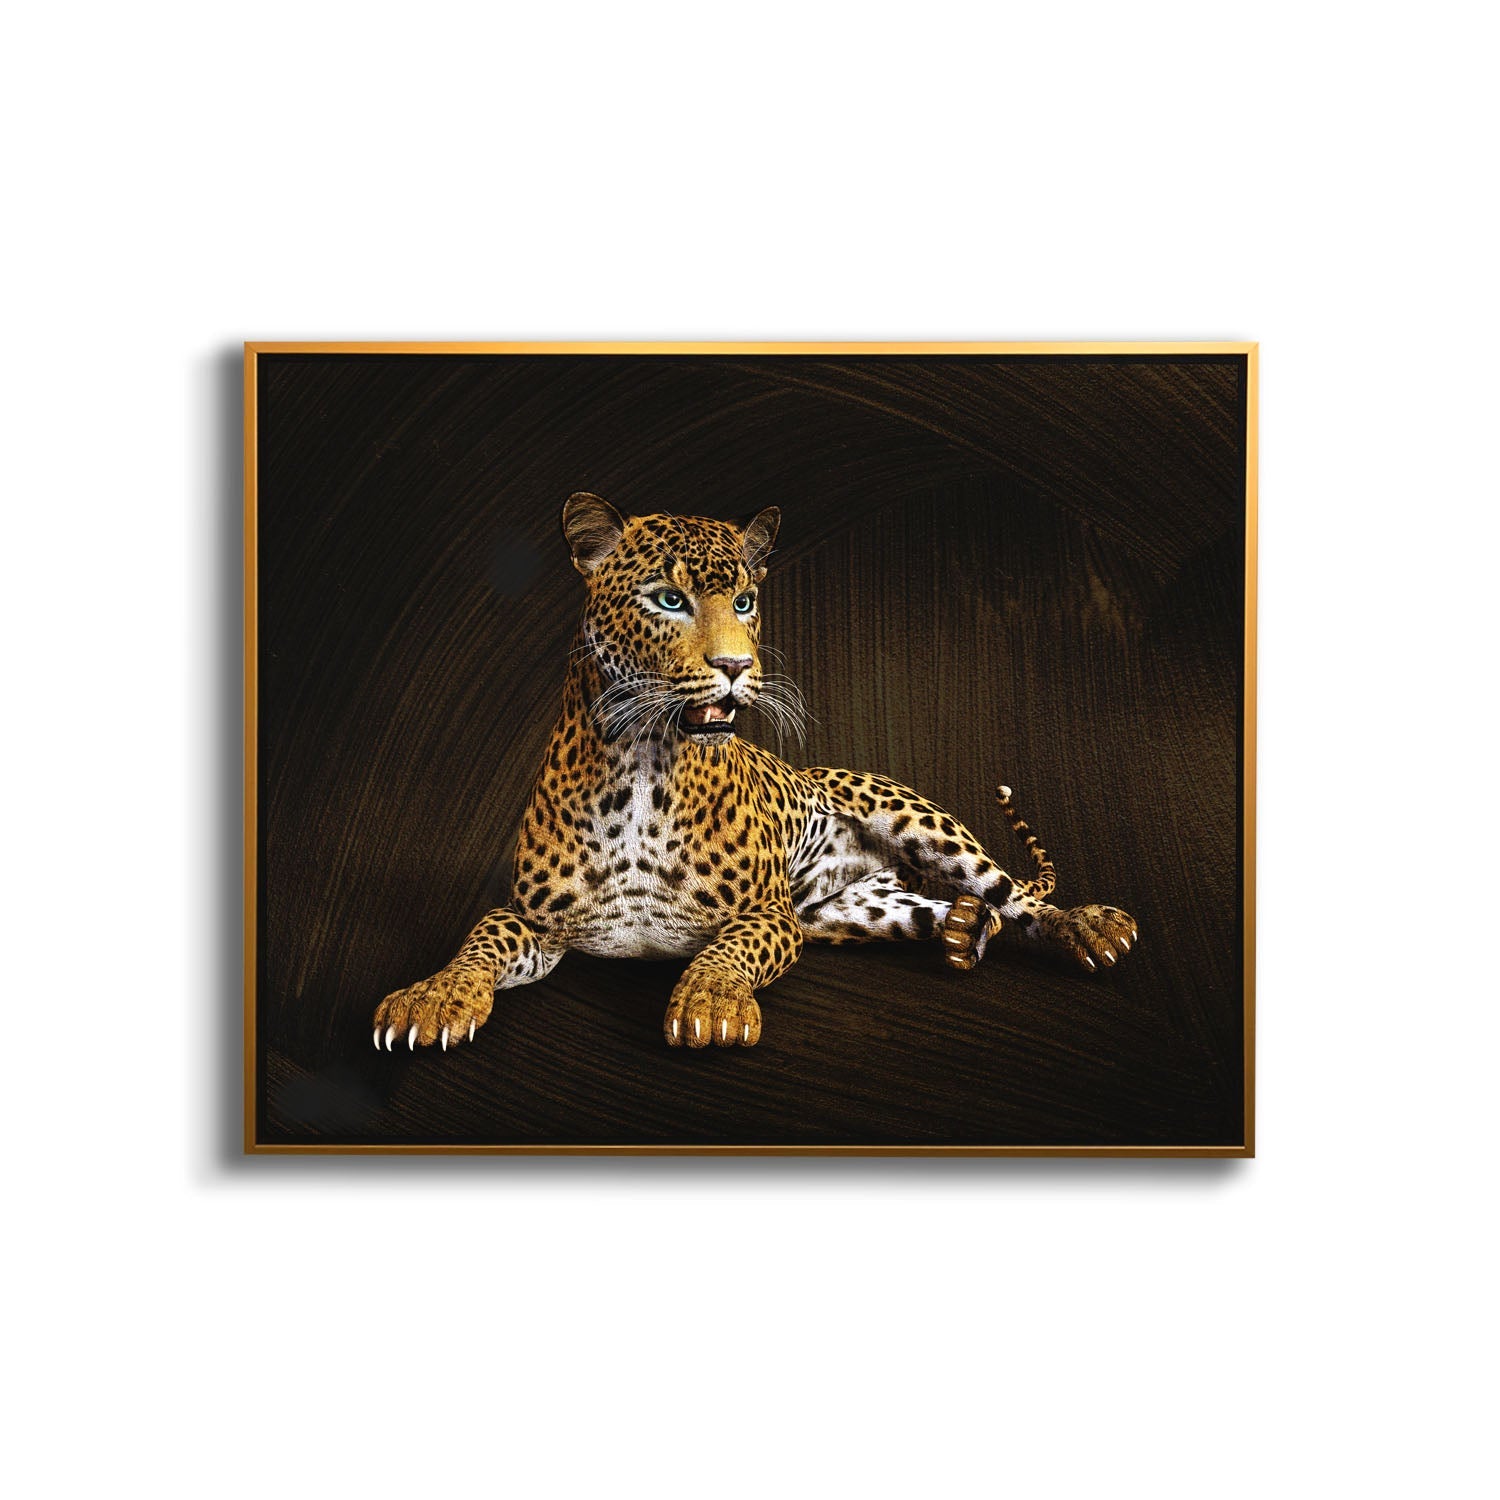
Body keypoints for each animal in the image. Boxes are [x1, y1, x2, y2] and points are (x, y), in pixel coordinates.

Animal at [372, 493, 1137, 1052]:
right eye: (669, 600)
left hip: (921, 822)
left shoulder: (766, 914)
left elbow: (728, 949)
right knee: (934, 909)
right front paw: (430, 996)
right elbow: (478, 941)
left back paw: (1087, 926)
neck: (643, 766)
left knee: (1014, 894)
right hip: (845, 914)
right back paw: (961, 929)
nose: (736, 666)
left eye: (744, 603)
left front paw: (711, 1002)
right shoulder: (535, 920)